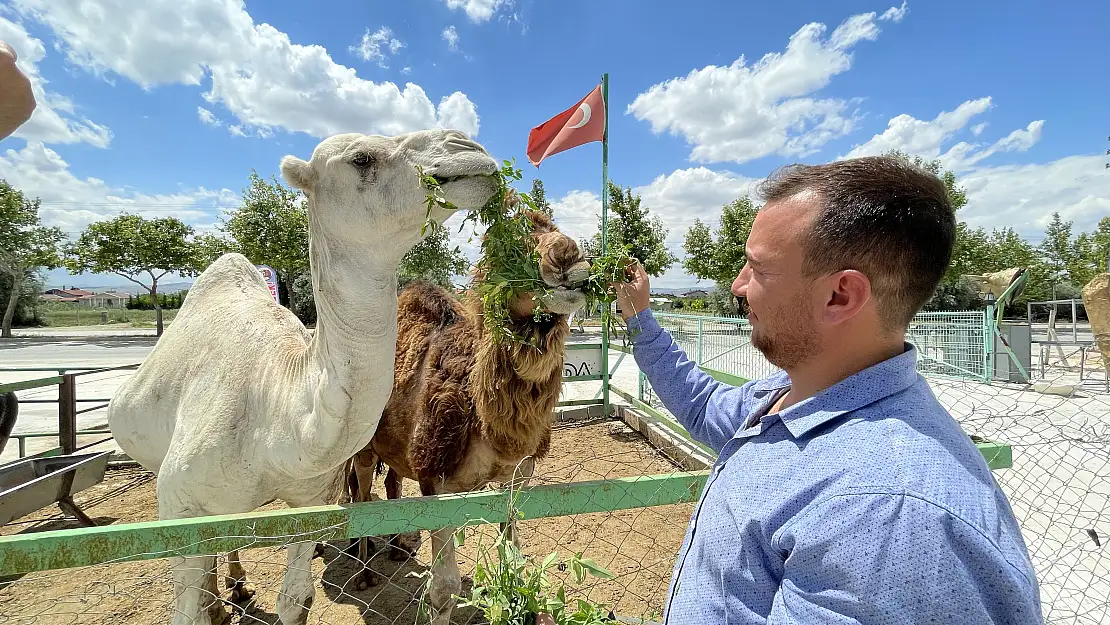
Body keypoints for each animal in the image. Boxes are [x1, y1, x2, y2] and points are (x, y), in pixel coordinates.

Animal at [107, 129, 499, 625]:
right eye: (362, 158)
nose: (468, 147)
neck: (276, 422)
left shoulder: (312, 503)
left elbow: (296, 600)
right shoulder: (179, 506)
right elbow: (185, 611)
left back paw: (232, 590)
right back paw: (223, 596)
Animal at [348, 212, 594, 625]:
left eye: (555, 227)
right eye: (509, 245)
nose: (567, 256)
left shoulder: (516, 477)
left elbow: (513, 557)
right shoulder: (436, 481)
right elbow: (444, 589)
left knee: (392, 483)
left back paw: (397, 549)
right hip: (363, 446)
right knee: (362, 494)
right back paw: (363, 573)